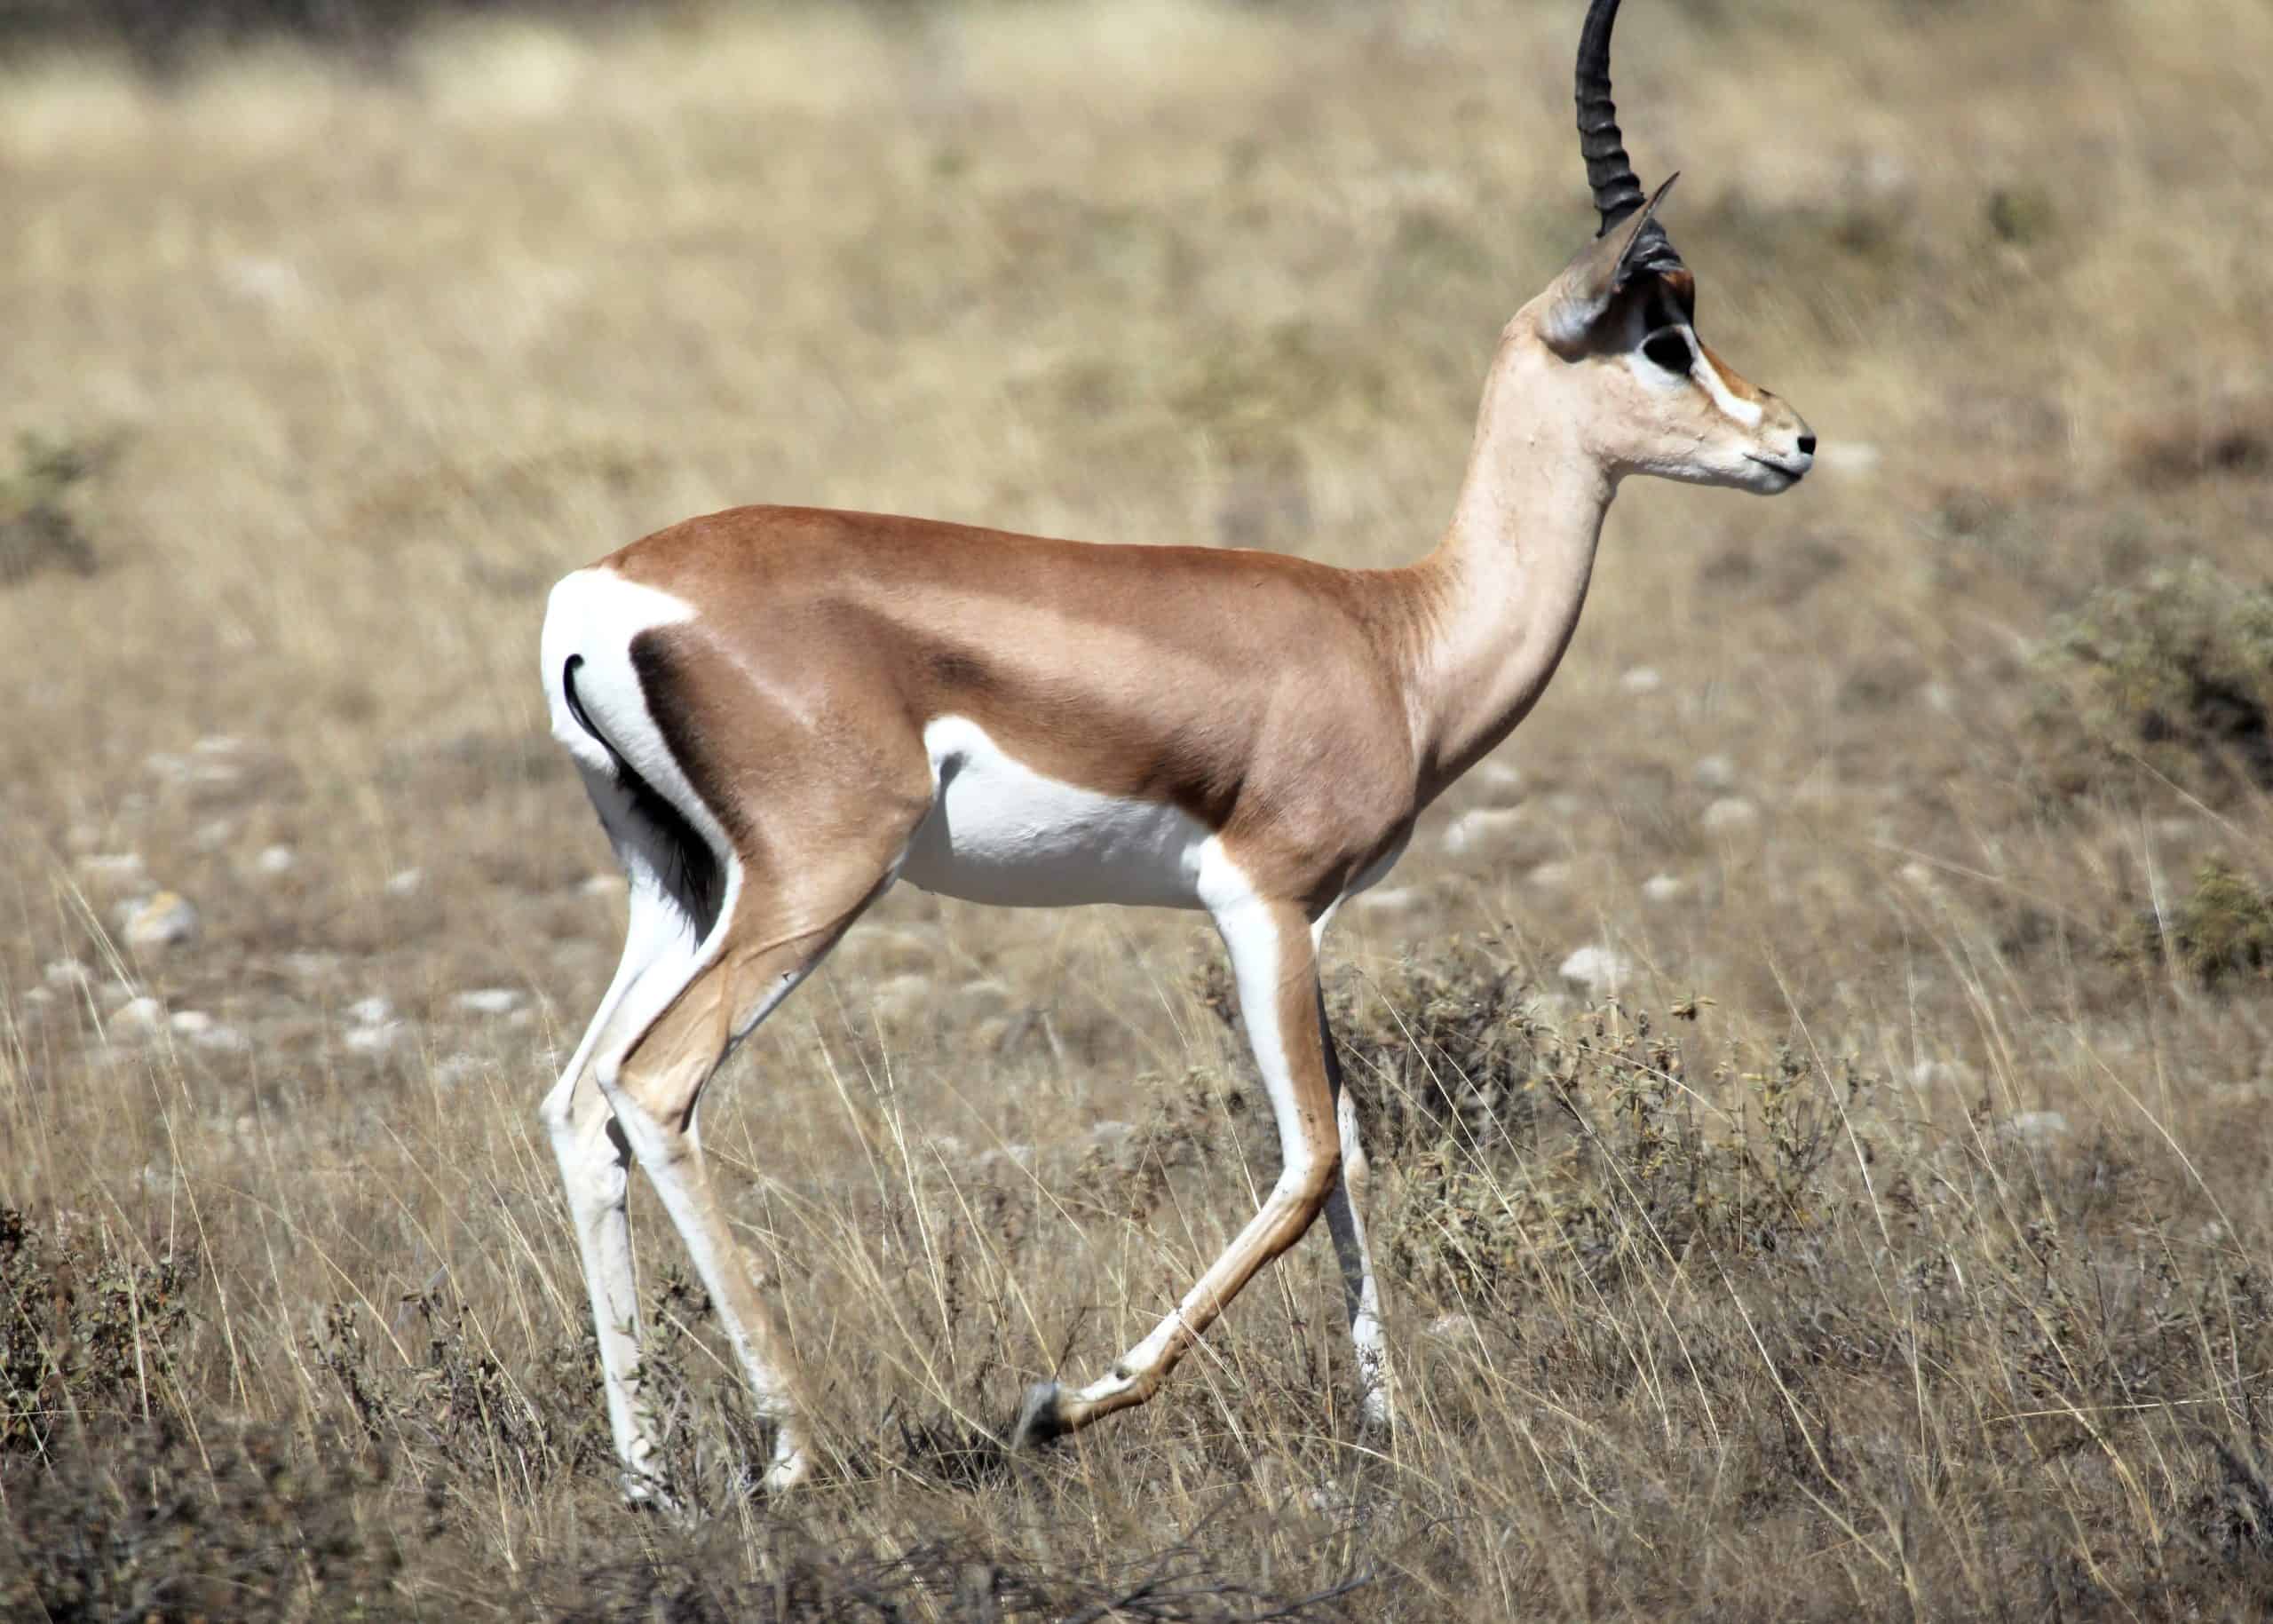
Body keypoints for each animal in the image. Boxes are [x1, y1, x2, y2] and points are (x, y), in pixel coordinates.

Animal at [537, 0, 1812, 1502]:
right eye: (1663, 335)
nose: (1795, 439)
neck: (1394, 637)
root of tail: (602, 593)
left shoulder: (1312, 920)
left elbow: (1354, 1152)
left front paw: (1388, 1430)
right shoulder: (1259, 899)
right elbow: (1307, 1161)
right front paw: (1064, 1403)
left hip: (682, 886)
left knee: (580, 1102)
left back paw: (650, 1476)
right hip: (814, 881)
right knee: (655, 1084)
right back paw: (791, 1451)